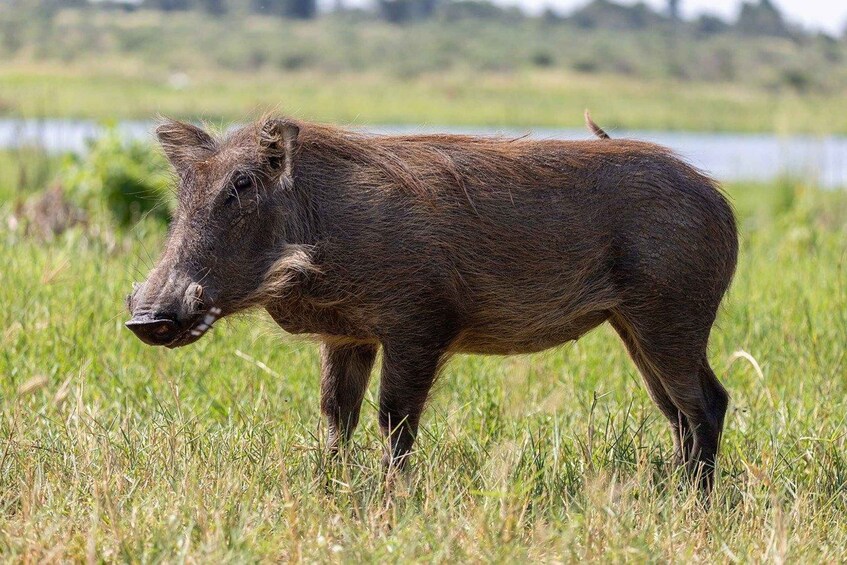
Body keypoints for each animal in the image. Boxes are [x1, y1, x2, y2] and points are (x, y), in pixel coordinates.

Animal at [126, 113, 738, 491]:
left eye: (243, 186)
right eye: (184, 192)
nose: (146, 318)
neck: (317, 222)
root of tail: (719, 198)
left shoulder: (417, 327)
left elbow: (395, 421)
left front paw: (391, 502)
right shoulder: (346, 336)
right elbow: (337, 416)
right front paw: (331, 490)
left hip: (669, 320)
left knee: (706, 404)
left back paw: (692, 507)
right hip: (634, 328)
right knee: (679, 414)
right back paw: (676, 493)